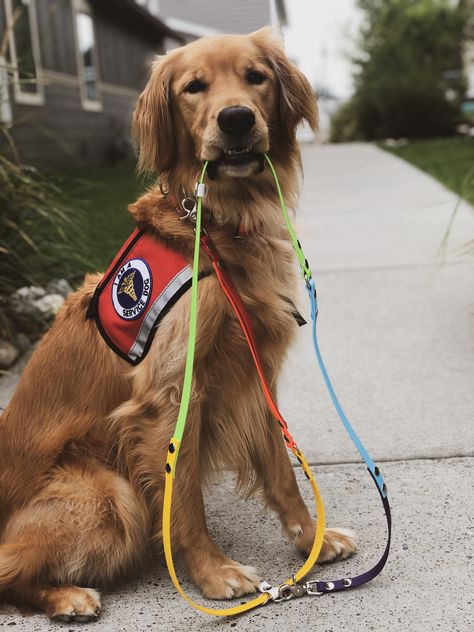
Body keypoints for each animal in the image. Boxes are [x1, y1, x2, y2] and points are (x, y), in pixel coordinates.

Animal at [0, 29, 356, 624]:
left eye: (256, 77)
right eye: (194, 87)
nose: (235, 119)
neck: (217, 226)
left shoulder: (254, 374)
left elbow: (282, 471)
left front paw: (312, 541)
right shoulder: (170, 396)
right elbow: (182, 499)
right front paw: (213, 574)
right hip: (108, 496)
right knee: (10, 567)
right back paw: (68, 596)